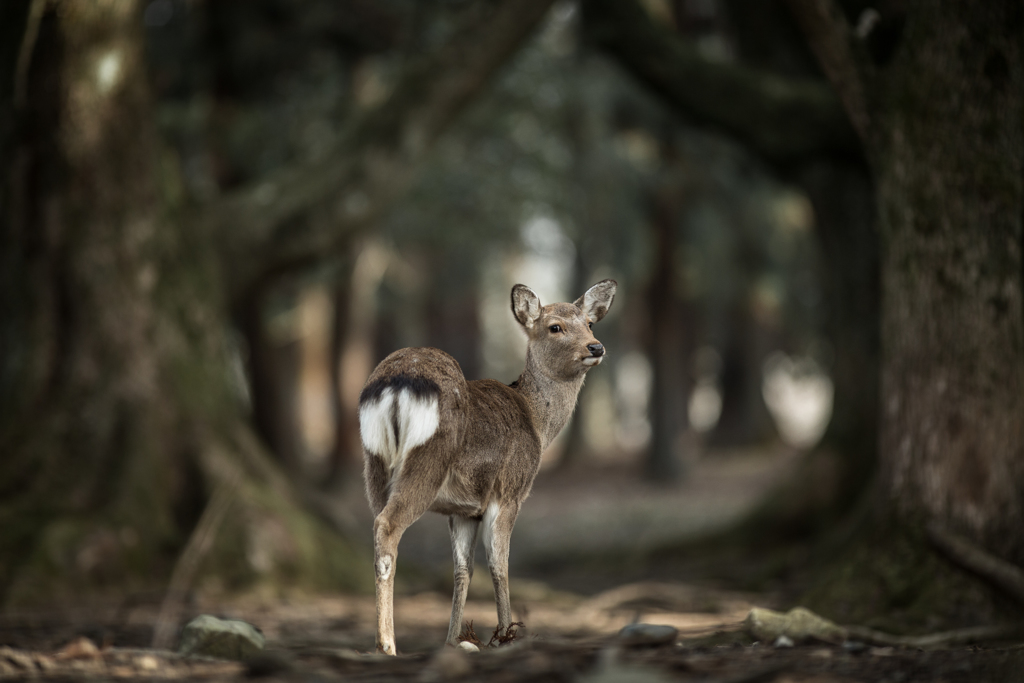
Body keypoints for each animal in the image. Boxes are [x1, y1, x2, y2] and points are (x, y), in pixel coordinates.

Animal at [358, 280, 614, 655]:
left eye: (590, 323)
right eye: (555, 327)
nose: (596, 346)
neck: (538, 424)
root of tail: (398, 383)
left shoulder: (463, 510)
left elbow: (463, 568)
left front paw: (454, 640)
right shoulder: (510, 491)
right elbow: (500, 564)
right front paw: (506, 636)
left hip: (373, 463)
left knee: (377, 529)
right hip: (427, 459)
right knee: (388, 525)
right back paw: (387, 644)